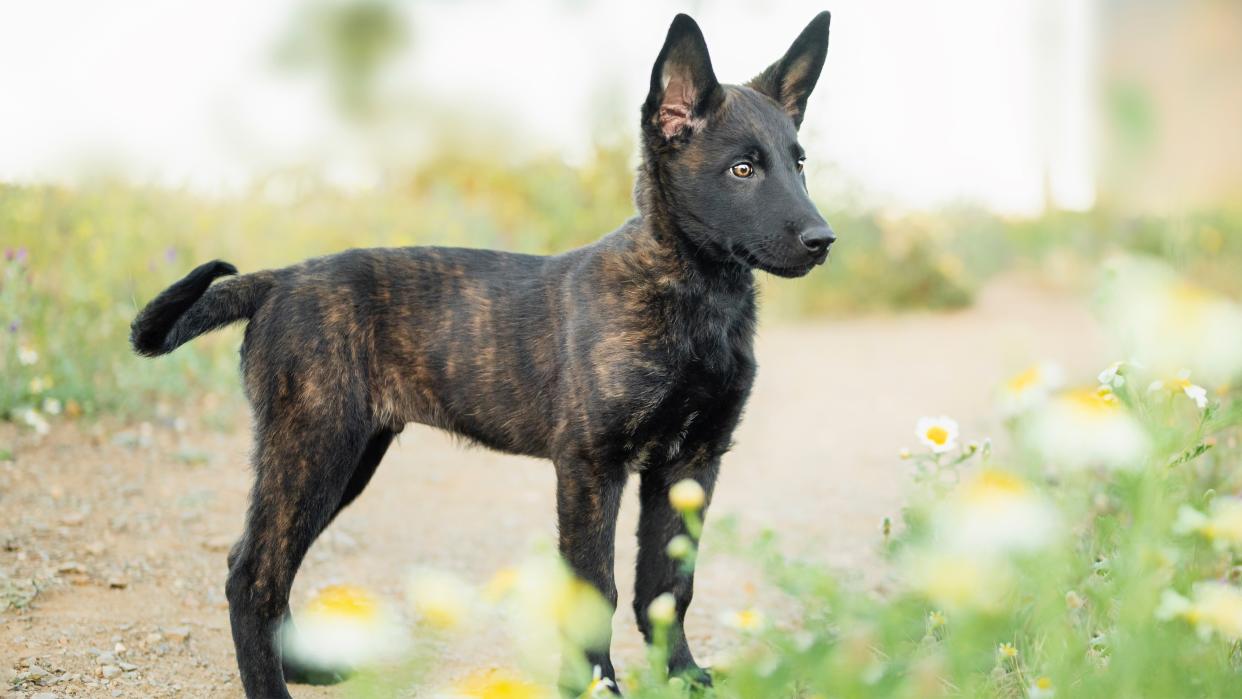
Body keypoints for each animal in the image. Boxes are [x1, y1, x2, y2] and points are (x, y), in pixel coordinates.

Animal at [131, 12, 834, 699]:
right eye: (742, 169)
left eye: (799, 164)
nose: (823, 240)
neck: (694, 297)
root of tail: (279, 279)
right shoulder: (590, 466)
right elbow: (596, 592)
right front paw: (594, 685)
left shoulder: (691, 464)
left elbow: (668, 587)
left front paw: (683, 676)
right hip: (314, 447)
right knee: (253, 575)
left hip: (346, 458)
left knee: (264, 566)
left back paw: (305, 668)